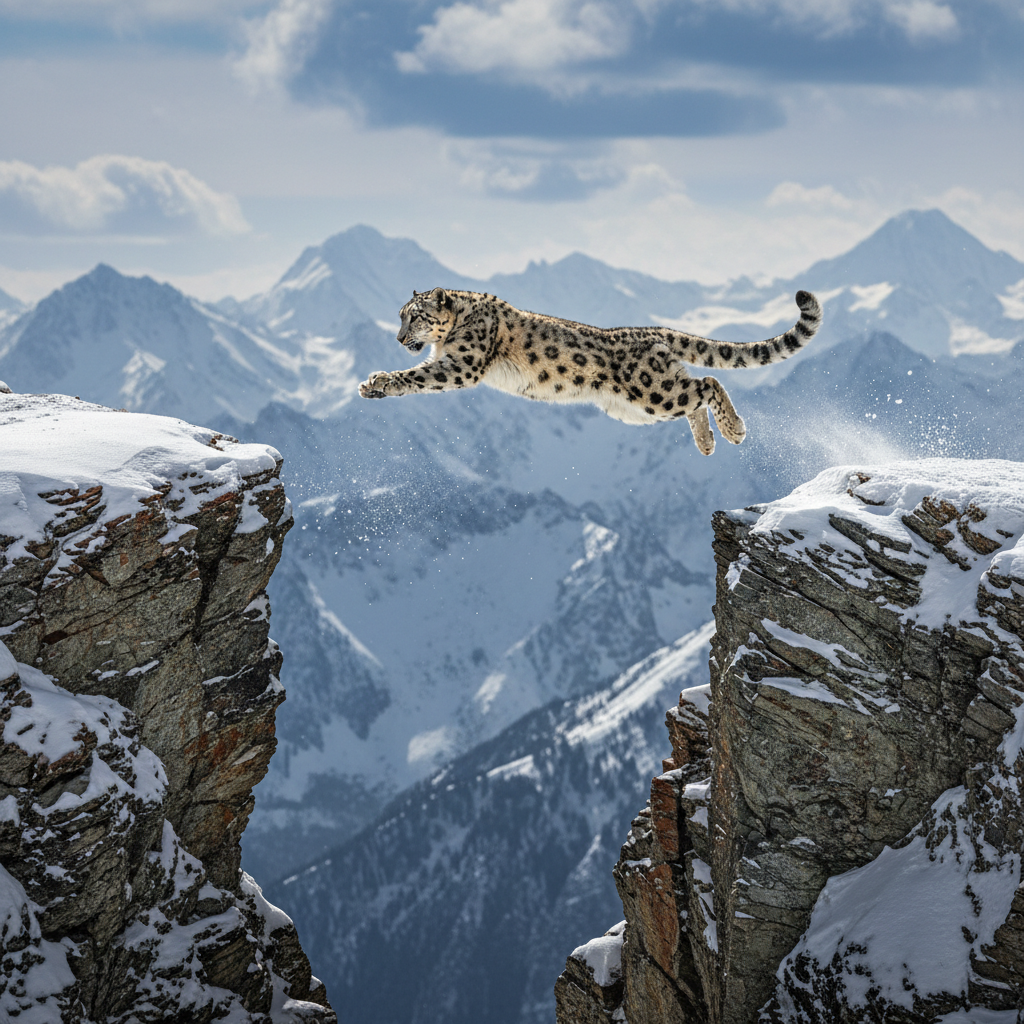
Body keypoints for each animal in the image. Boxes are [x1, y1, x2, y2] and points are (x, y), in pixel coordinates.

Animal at [358, 287, 822, 455]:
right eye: (400, 316)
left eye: (415, 316)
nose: (399, 338)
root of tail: (650, 330)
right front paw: (372, 384)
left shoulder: (461, 364)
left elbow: (418, 377)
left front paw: (377, 381)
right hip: (637, 409)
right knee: (694, 392)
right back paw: (707, 442)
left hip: (652, 391)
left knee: (708, 382)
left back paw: (733, 429)